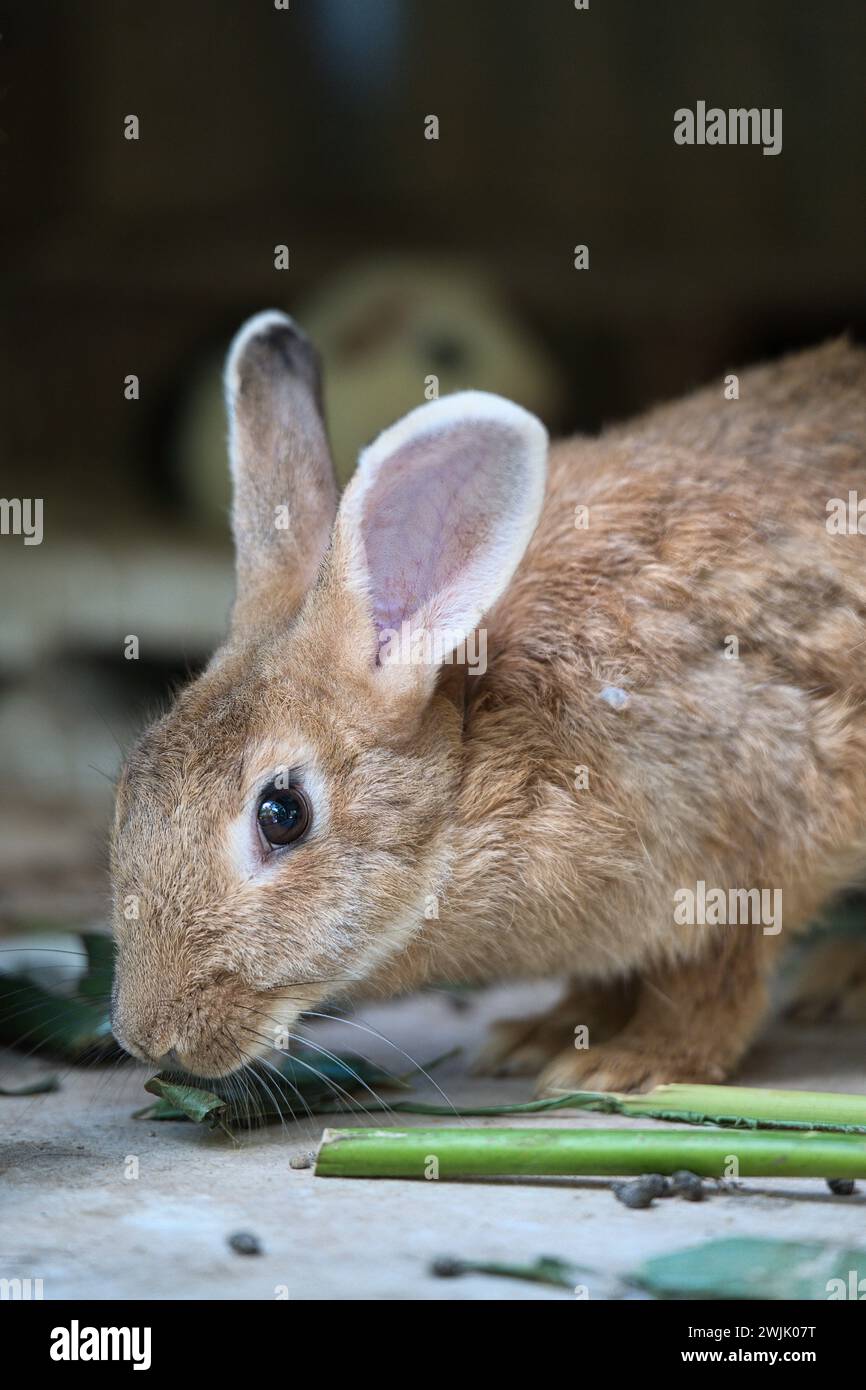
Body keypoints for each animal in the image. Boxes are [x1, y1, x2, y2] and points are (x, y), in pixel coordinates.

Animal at [110, 310, 866, 1095]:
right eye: (129, 786)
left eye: (282, 815)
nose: (151, 1037)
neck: (477, 760)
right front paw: (544, 1034)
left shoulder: (747, 844)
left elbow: (710, 986)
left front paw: (625, 1065)